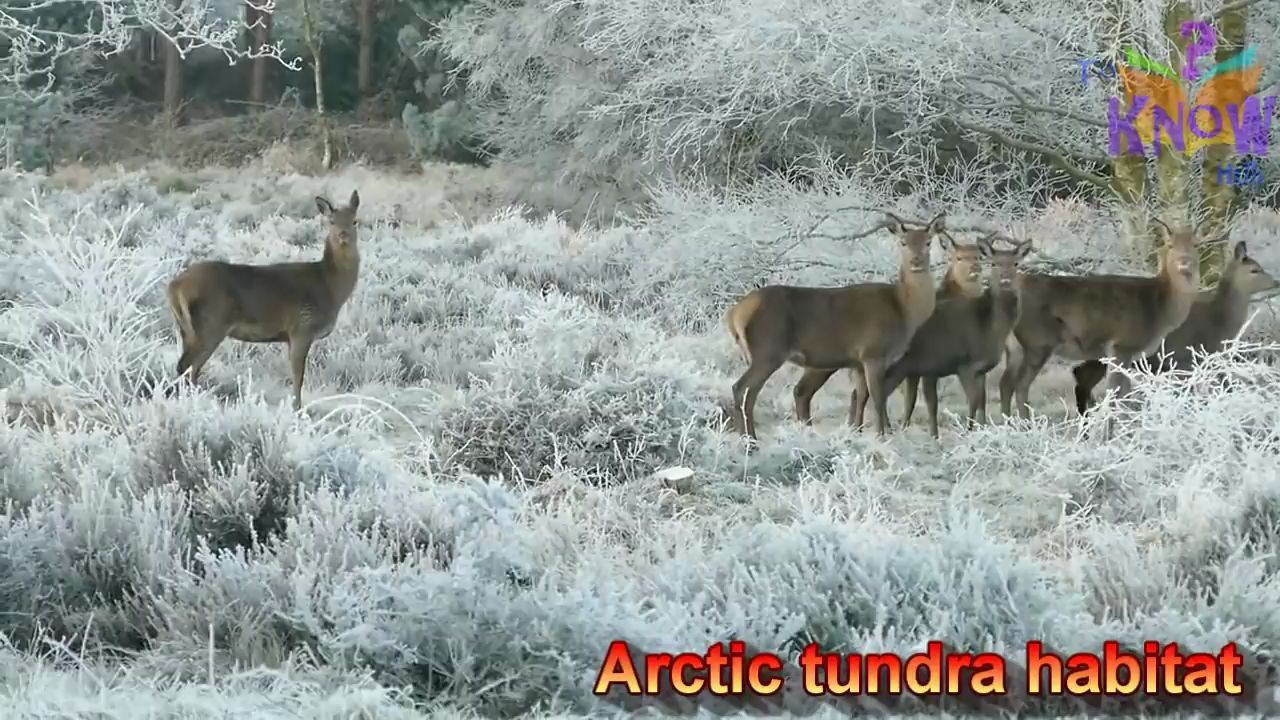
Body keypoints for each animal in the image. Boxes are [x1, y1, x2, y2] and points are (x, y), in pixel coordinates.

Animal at [165, 188, 363, 409]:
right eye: (331, 221)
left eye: (354, 221)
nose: (343, 235)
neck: (329, 288)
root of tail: (174, 287)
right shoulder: (301, 327)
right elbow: (298, 376)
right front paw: (297, 409)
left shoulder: (291, 336)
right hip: (210, 325)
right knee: (186, 366)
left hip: (185, 328)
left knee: (189, 367)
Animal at [727, 210, 947, 440]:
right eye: (903, 242)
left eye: (928, 242)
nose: (916, 261)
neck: (904, 309)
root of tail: (734, 313)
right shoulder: (873, 353)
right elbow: (877, 398)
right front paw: (881, 436)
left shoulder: (859, 362)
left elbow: (861, 397)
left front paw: (857, 431)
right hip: (768, 349)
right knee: (742, 389)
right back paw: (750, 439)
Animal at [885, 235, 1034, 438]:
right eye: (993, 263)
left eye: (1016, 263)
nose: (1005, 280)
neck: (988, 326)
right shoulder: (961, 365)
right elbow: (968, 400)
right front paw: (965, 432)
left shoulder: (980, 369)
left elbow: (980, 399)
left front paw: (980, 428)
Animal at [998, 219, 1198, 420]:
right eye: (1170, 245)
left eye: (1194, 245)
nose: (1185, 261)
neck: (1159, 309)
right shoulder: (1122, 345)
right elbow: (1118, 396)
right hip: (1037, 341)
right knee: (1021, 385)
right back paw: (1026, 423)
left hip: (1015, 346)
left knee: (1005, 383)